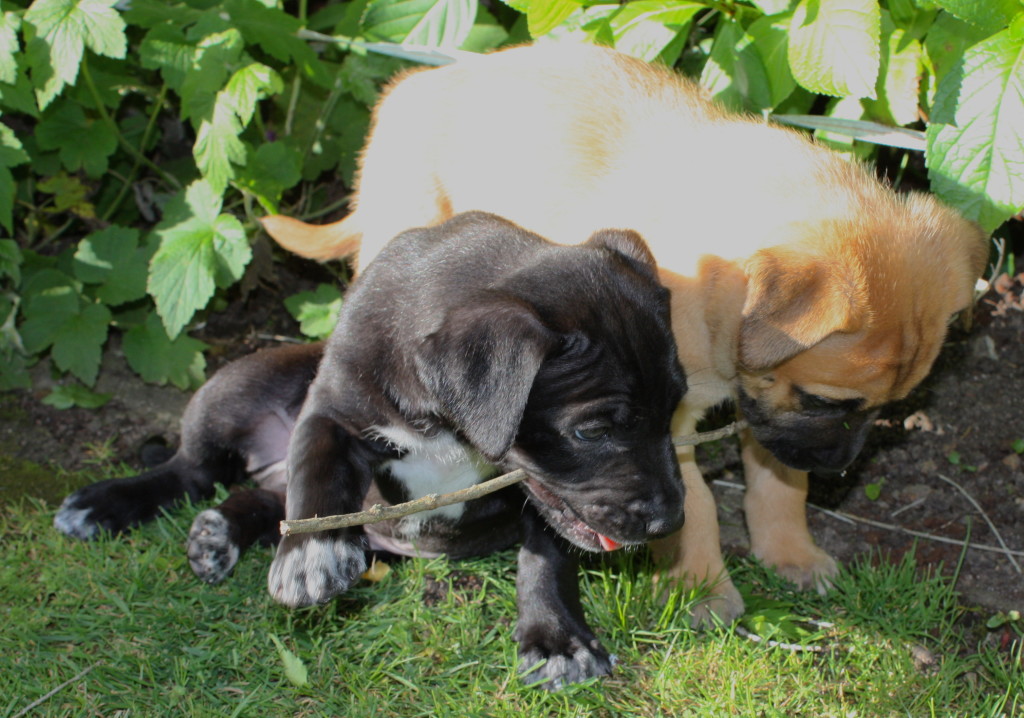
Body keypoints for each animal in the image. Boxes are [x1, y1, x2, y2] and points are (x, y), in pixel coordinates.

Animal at [51, 210, 684, 688]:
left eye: (675, 408)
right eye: (592, 431)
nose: (669, 523)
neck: (444, 419)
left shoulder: (542, 498)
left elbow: (547, 555)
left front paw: (557, 641)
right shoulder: (332, 411)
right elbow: (318, 473)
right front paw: (312, 557)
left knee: (262, 498)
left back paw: (216, 533)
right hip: (236, 387)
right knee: (194, 471)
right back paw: (105, 505)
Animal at [264, 44, 991, 622]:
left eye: (892, 408)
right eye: (822, 400)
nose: (840, 468)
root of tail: (413, 86)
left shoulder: (759, 416)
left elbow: (780, 484)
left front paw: (792, 553)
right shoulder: (676, 431)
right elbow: (699, 508)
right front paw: (702, 590)